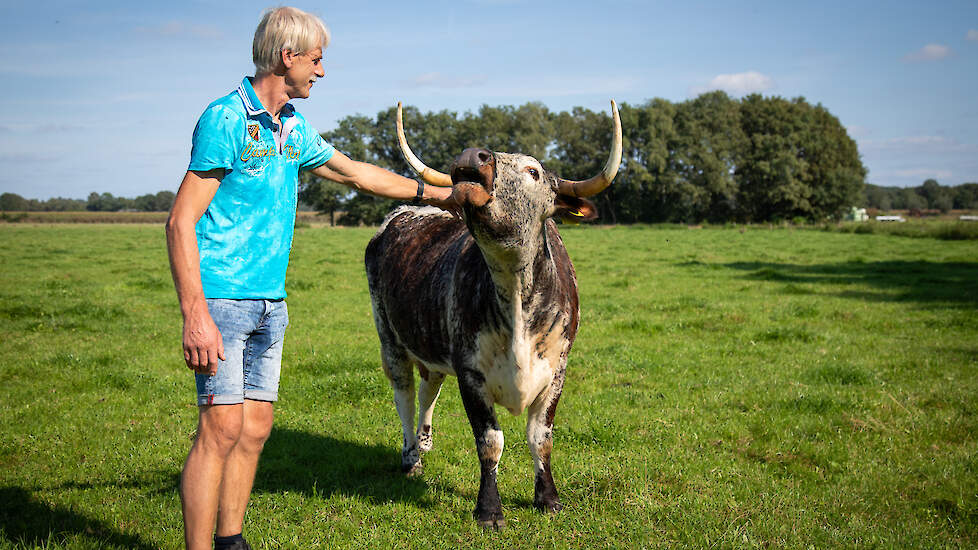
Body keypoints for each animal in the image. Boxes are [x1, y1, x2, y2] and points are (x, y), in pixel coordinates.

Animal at [362, 100, 620, 532]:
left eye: (533, 172)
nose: (472, 158)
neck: (515, 296)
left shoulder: (556, 372)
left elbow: (541, 438)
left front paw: (548, 499)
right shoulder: (471, 374)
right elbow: (490, 442)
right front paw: (489, 510)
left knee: (429, 388)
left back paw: (425, 442)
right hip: (390, 340)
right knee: (405, 394)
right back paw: (411, 455)